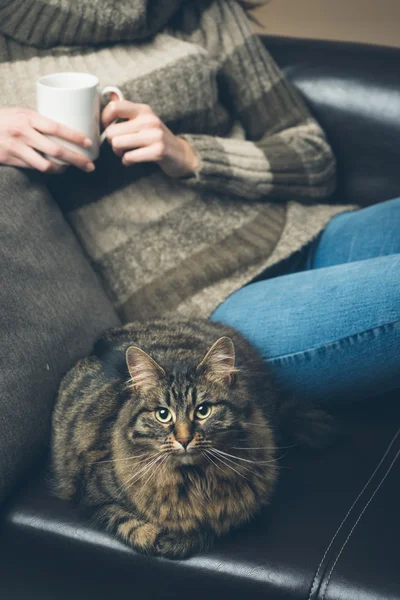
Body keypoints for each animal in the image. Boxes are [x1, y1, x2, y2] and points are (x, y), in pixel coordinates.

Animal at [50, 318, 332, 556]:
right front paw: (171, 537)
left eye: (203, 410)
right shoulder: (91, 495)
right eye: (163, 414)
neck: (195, 481)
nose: (184, 439)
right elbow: (136, 527)